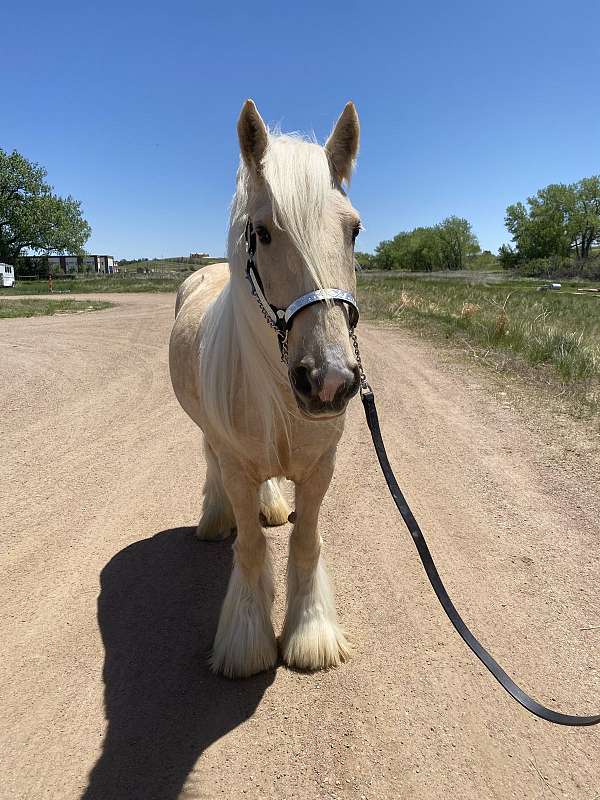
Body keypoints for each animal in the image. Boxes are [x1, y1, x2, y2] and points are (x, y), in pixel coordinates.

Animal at [171, 98, 364, 676]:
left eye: (354, 231)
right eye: (262, 232)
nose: (330, 380)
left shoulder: (321, 468)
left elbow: (305, 540)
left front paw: (310, 633)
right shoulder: (237, 466)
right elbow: (253, 548)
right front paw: (247, 640)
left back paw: (273, 503)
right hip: (210, 437)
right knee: (211, 463)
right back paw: (216, 520)